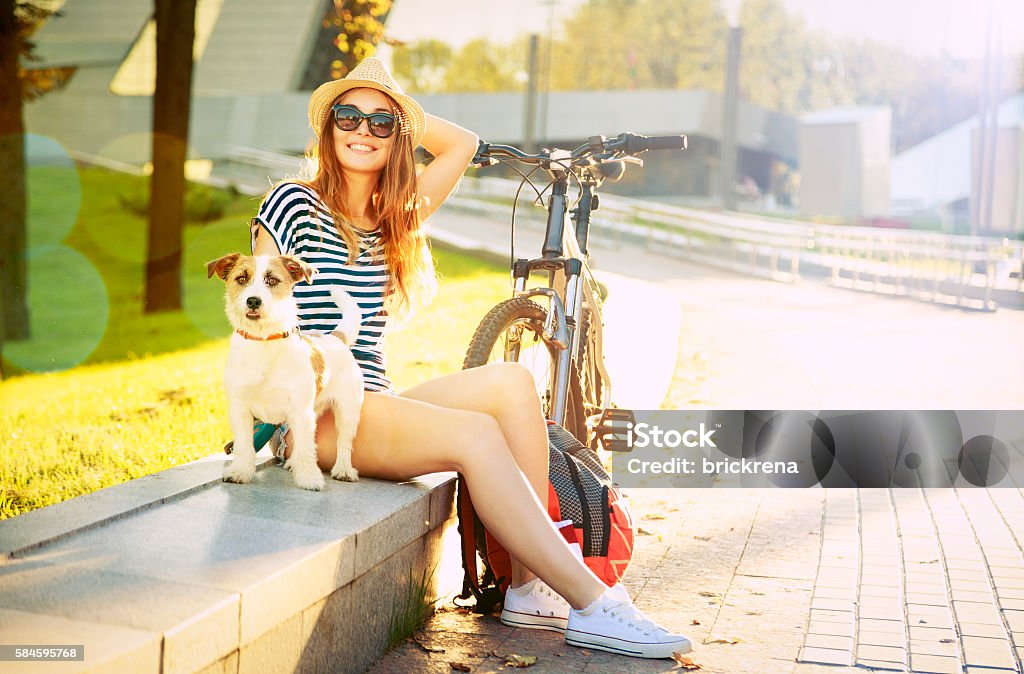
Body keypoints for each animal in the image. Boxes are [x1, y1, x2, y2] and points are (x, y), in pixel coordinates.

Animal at [204, 251, 364, 487]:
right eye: (241, 278)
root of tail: (336, 339)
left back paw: (343, 469)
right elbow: (244, 445)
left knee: (343, 442)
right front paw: (241, 471)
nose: (253, 301)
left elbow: (307, 448)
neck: (263, 341)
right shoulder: (240, 410)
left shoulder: (301, 410)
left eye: (272, 280)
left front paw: (308, 477)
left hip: (347, 410)